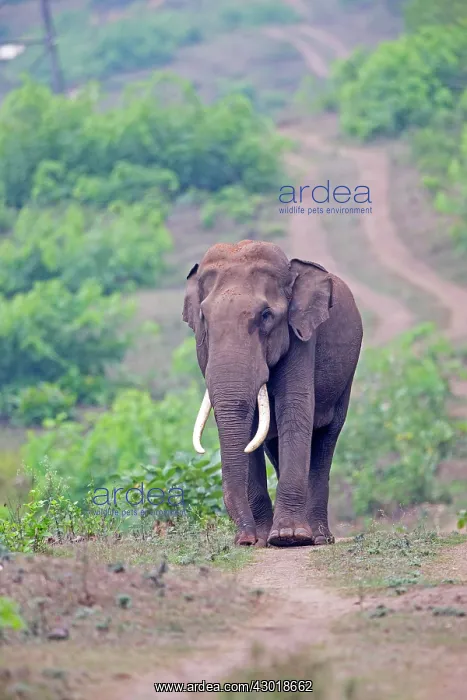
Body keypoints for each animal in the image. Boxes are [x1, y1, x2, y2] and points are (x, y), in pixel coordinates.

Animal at [182, 240, 362, 547]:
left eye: (266, 316)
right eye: (204, 318)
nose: (243, 539)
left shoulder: (301, 336)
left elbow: (295, 409)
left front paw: (289, 538)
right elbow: (250, 426)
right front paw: (261, 540)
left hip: (346, 377)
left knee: (326, 438)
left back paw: (317, 537)